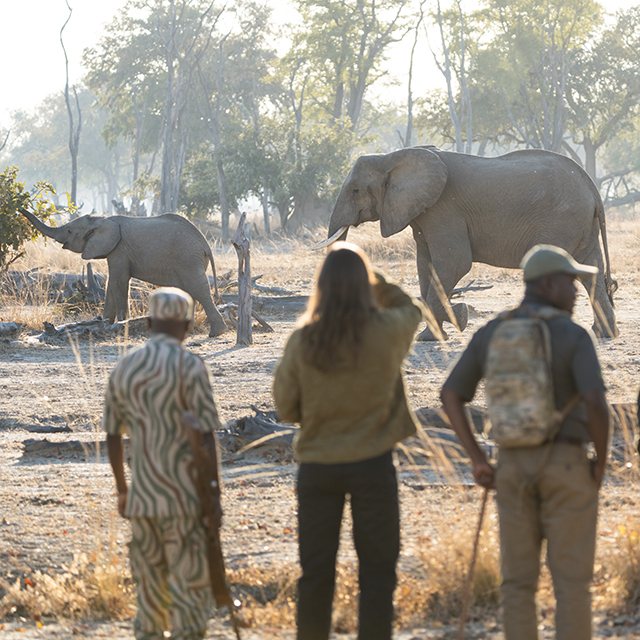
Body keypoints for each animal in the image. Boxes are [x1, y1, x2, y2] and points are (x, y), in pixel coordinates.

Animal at [19, 209, 228, 337]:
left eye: (69, 230)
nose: (20, 209)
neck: (101, 219)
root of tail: (206, 245)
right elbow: (111, 284)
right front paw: (103, 322)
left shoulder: (119, 250)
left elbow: (119, 282)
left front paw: (119, 325)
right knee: (189, 292)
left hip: (188, 259)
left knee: (199, 289)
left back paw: (217, 332)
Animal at [319, 146, 618, 340]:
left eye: (355, 190)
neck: (392, 156)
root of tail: (594, 190)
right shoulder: (423, 214)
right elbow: (426, 266)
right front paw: (433, 334)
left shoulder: (443, 210)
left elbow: (454, 264)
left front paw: (457, 319)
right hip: (579, 225)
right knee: (591, 271)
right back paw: (604, 333)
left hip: (561, 221)